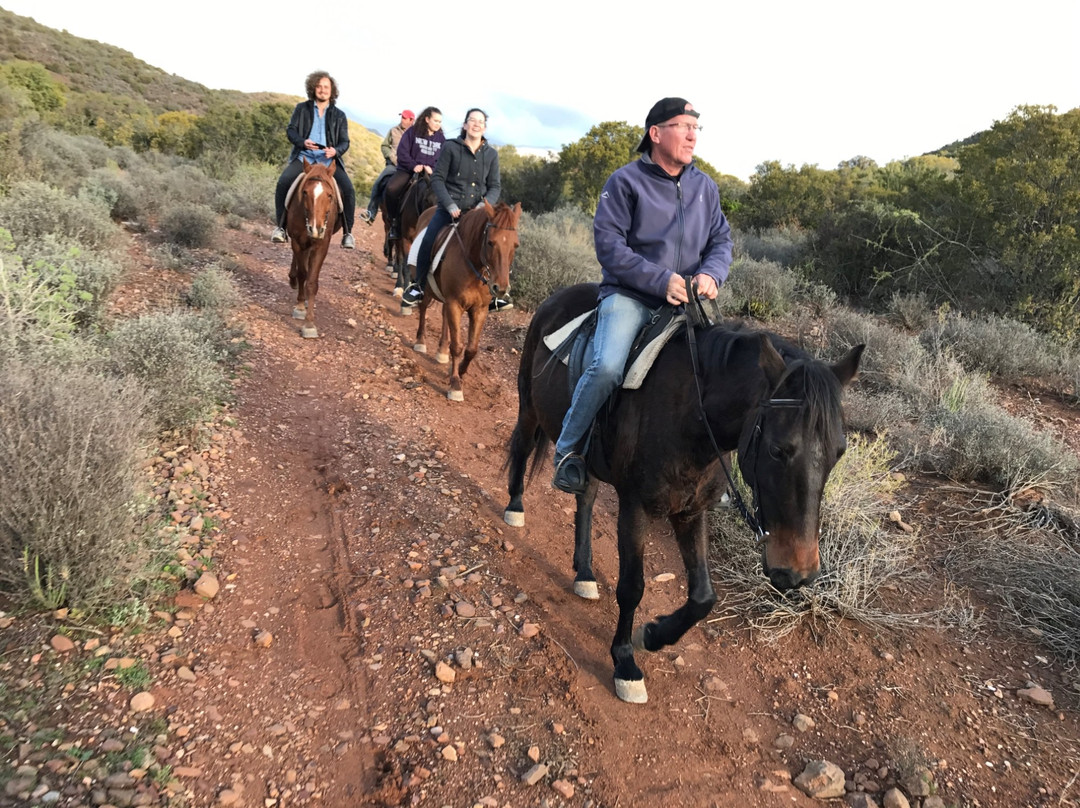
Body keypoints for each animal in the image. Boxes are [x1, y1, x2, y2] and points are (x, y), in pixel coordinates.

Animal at [286, 159, 341, 339]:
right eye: (304, 192)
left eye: (330, 196)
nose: (316, 228)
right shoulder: (297, 241)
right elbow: (303, 274)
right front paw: (300, 307)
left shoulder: (321, 245)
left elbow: (311, 281)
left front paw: (309, 324)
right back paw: (293, 279)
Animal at [412, 200, 522, 401]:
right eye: (490, 242)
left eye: (515, 245)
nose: (501, 288)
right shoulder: (454, 303)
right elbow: (457, 346)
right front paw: (455, 384)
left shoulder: (479, 309)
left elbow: (471, 349)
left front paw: (460, 372)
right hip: (429, 288)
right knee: (423, 307)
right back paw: (421, 341)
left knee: (443, 316)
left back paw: (442, 351)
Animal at [502, 283, 864, 703]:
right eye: (778, 449)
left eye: (839, 452)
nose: (800, 572)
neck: (691, 417)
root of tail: (557, 297)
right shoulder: (635, 508)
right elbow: (632, 587)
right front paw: (625, 663)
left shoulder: (692, 511)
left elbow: (703, 596)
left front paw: (653, 635)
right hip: (529, 407)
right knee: (522, 447)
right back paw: (514, 508)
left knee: (586, 497)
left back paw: (586, 573)